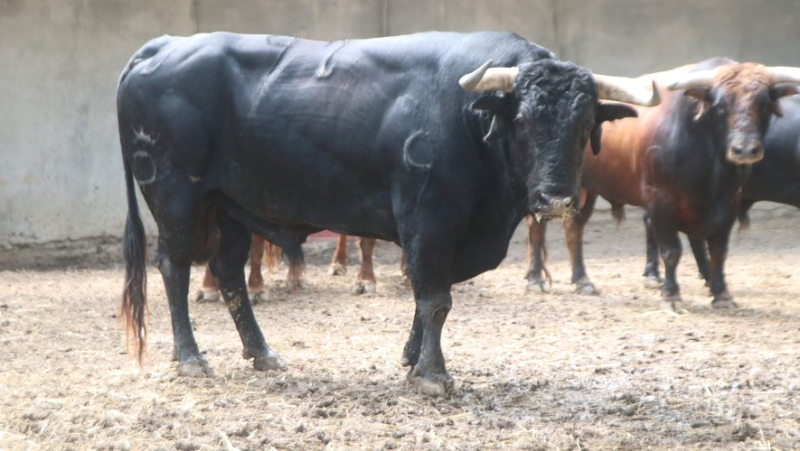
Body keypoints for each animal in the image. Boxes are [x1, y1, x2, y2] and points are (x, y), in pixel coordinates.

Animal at [117, 30, 656, 396]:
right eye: (523, 120)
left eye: (585, 125)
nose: (557, 199)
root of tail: (163, 46)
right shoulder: (429, 217)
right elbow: (435, 298)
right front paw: (433, 375)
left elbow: (428, 297)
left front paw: (412, 360)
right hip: (177, 198)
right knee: (174, 268)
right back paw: (190, 357)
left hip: (230, 205)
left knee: (228, 272)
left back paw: (262, 353)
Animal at [524, 58, 800, 312]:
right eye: (721, 105)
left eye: (764, 104)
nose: (744, 149)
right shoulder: (661, 202)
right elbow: (672, 250)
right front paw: (671, 295)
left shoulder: (730, 203)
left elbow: (719, 251)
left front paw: (722, 294)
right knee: (536, 225)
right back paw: (536, 279)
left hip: (586, 190)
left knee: (574, 228)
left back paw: (582, 281)